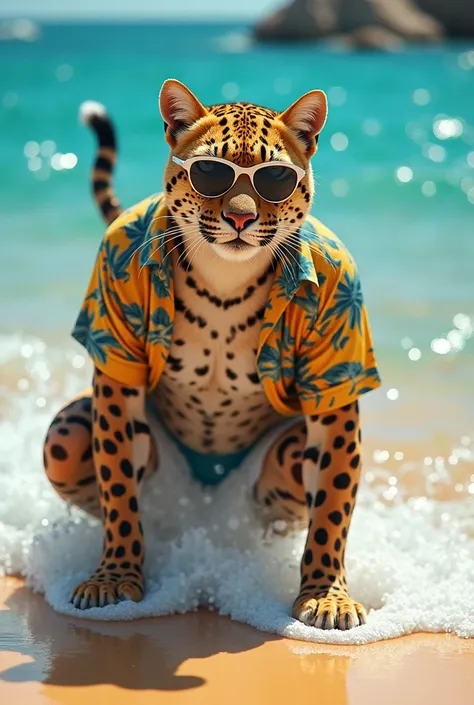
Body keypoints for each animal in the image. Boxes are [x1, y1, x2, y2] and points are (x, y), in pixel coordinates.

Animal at [42, 80, 380, 628]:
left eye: (275, 178)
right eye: (209, 172)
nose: (240, 217)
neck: (226, 278)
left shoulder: (338, 366)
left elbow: (331, 506)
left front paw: (326, 594)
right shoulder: (114, 354)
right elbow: (118, 490)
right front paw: (115, 577)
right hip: (77, 441)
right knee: (79, 446)